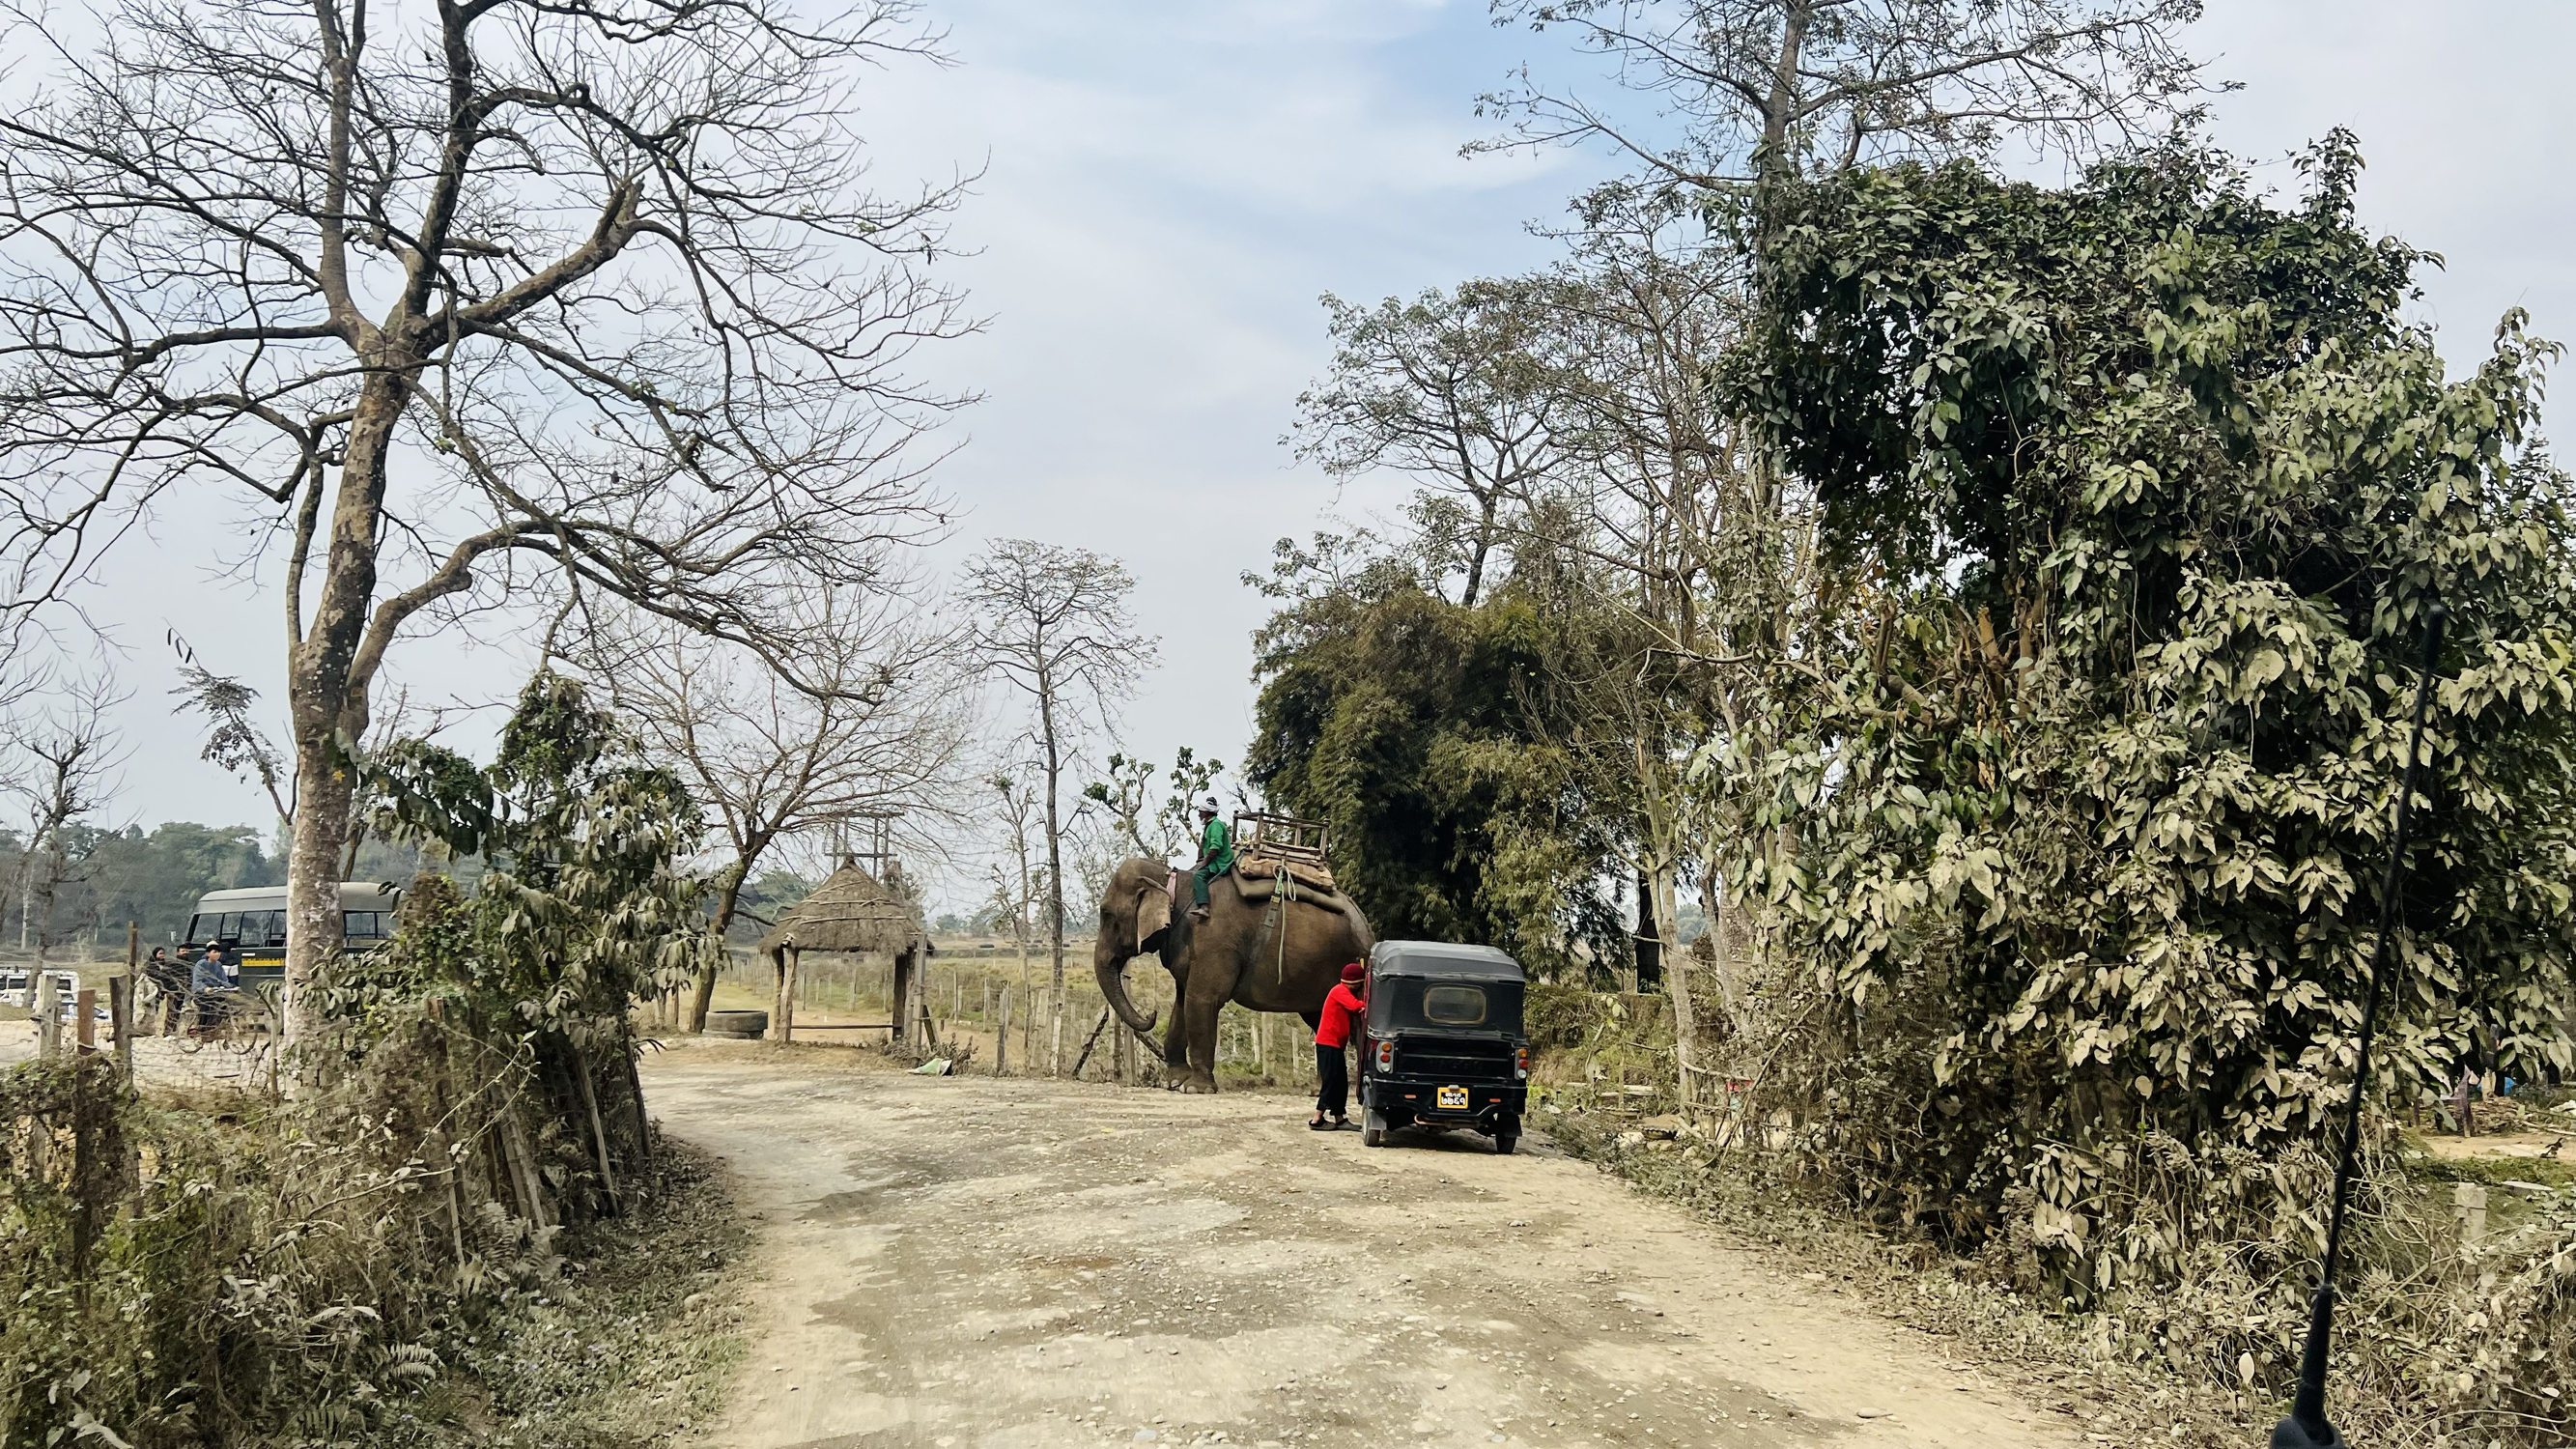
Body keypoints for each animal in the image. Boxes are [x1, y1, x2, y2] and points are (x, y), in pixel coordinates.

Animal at [1087, 850, 1380, 1088]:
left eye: (1107, 915)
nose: (1152, 1013)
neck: (1171, 877)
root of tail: (1367, 928)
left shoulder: (1213, 941)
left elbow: (1203, 1000)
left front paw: (1195, 1088)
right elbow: (1183, 1002)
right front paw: (1176, 1083)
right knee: (1320, 1019)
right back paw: (1319, 1089)